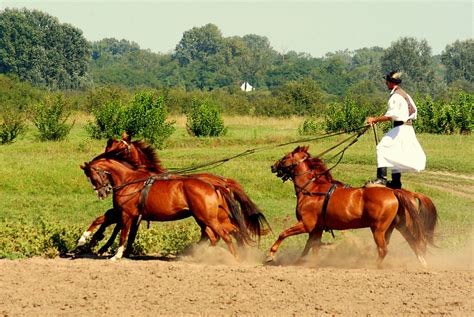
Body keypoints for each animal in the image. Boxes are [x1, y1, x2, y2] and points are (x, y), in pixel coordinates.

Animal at [79, 131, 268, 254]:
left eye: (118, 148)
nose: (102, 192)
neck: (135, 177)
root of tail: (221, 182)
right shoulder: (126, 212)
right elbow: (107, 221)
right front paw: (94, 240)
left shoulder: (127, 212)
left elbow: (118, 227)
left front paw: (101, 245)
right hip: (208, 217)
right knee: (222, 233)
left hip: (206, 217)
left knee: (220, 234)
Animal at [266, 145, 434, 264]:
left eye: (285, 157)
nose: (273, 166)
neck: (312, 189)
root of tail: (394, 192)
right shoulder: (317, 229)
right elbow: (311, 247)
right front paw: (305, 262)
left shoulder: (306, 224)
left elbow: (283, 234)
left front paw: (271, 254)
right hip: (399, 225)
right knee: (413, 244)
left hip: (378, 229)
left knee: (383, 250)